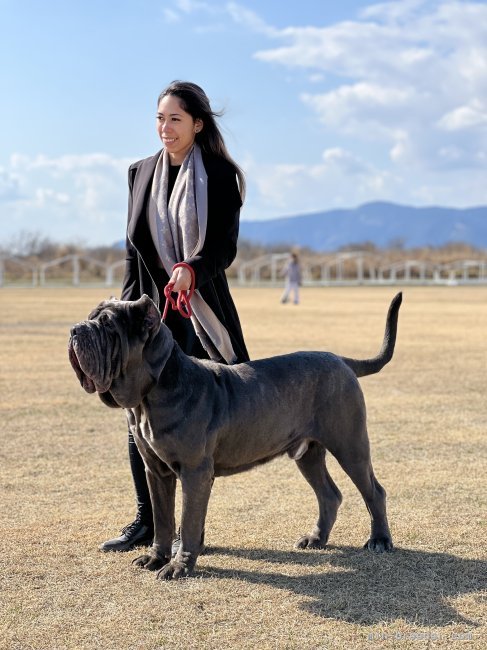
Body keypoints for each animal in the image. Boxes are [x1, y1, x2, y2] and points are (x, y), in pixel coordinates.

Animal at [69, 292, 404, 580]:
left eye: (108, 325)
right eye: (91, 317)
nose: (74, 329)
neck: (150, 395)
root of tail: (341, 360)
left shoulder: (194, 472)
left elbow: (188, 521)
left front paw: (179, 566)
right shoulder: (155, 471)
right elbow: (163, 518)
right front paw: (155, 557)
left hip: (350, 444)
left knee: (374, 491)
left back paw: (379, 540)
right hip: (308, 453)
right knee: (329, 494)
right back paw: (315, 538)